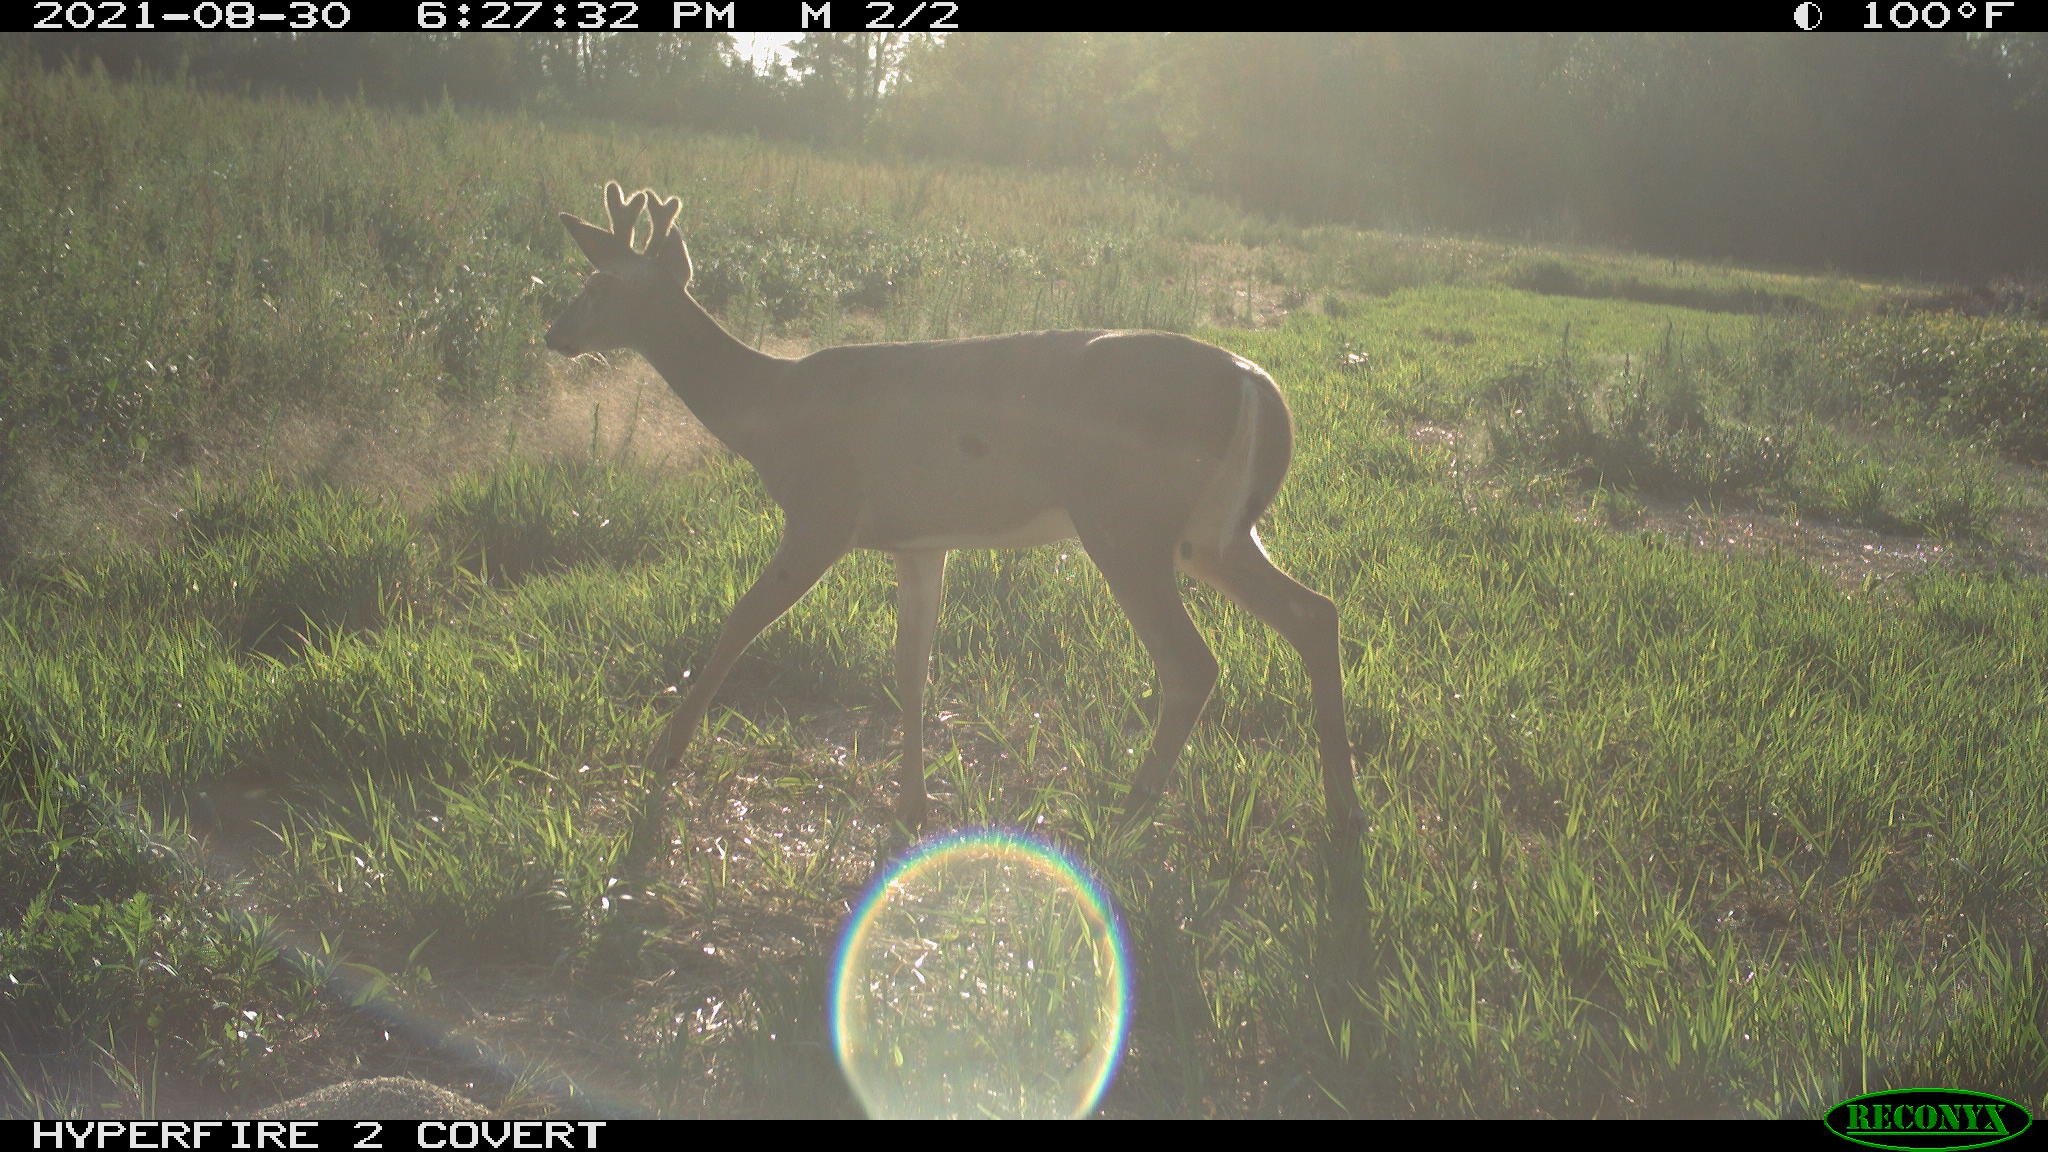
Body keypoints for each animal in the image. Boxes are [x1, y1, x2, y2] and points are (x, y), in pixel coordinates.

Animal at [544, 181, 1359, 860]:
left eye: (597, 281)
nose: (553, 334)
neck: (767, 413)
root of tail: (1256, 382)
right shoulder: (917, 542)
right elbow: (912, 668)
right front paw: (912, 805)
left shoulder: (823, 509)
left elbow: (738, 623)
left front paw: (664, 754)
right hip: (1209, 533)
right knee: (1314, 612)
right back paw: (1343, 810)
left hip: (1125, 517)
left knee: (1192, 663)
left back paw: (1127, 817)